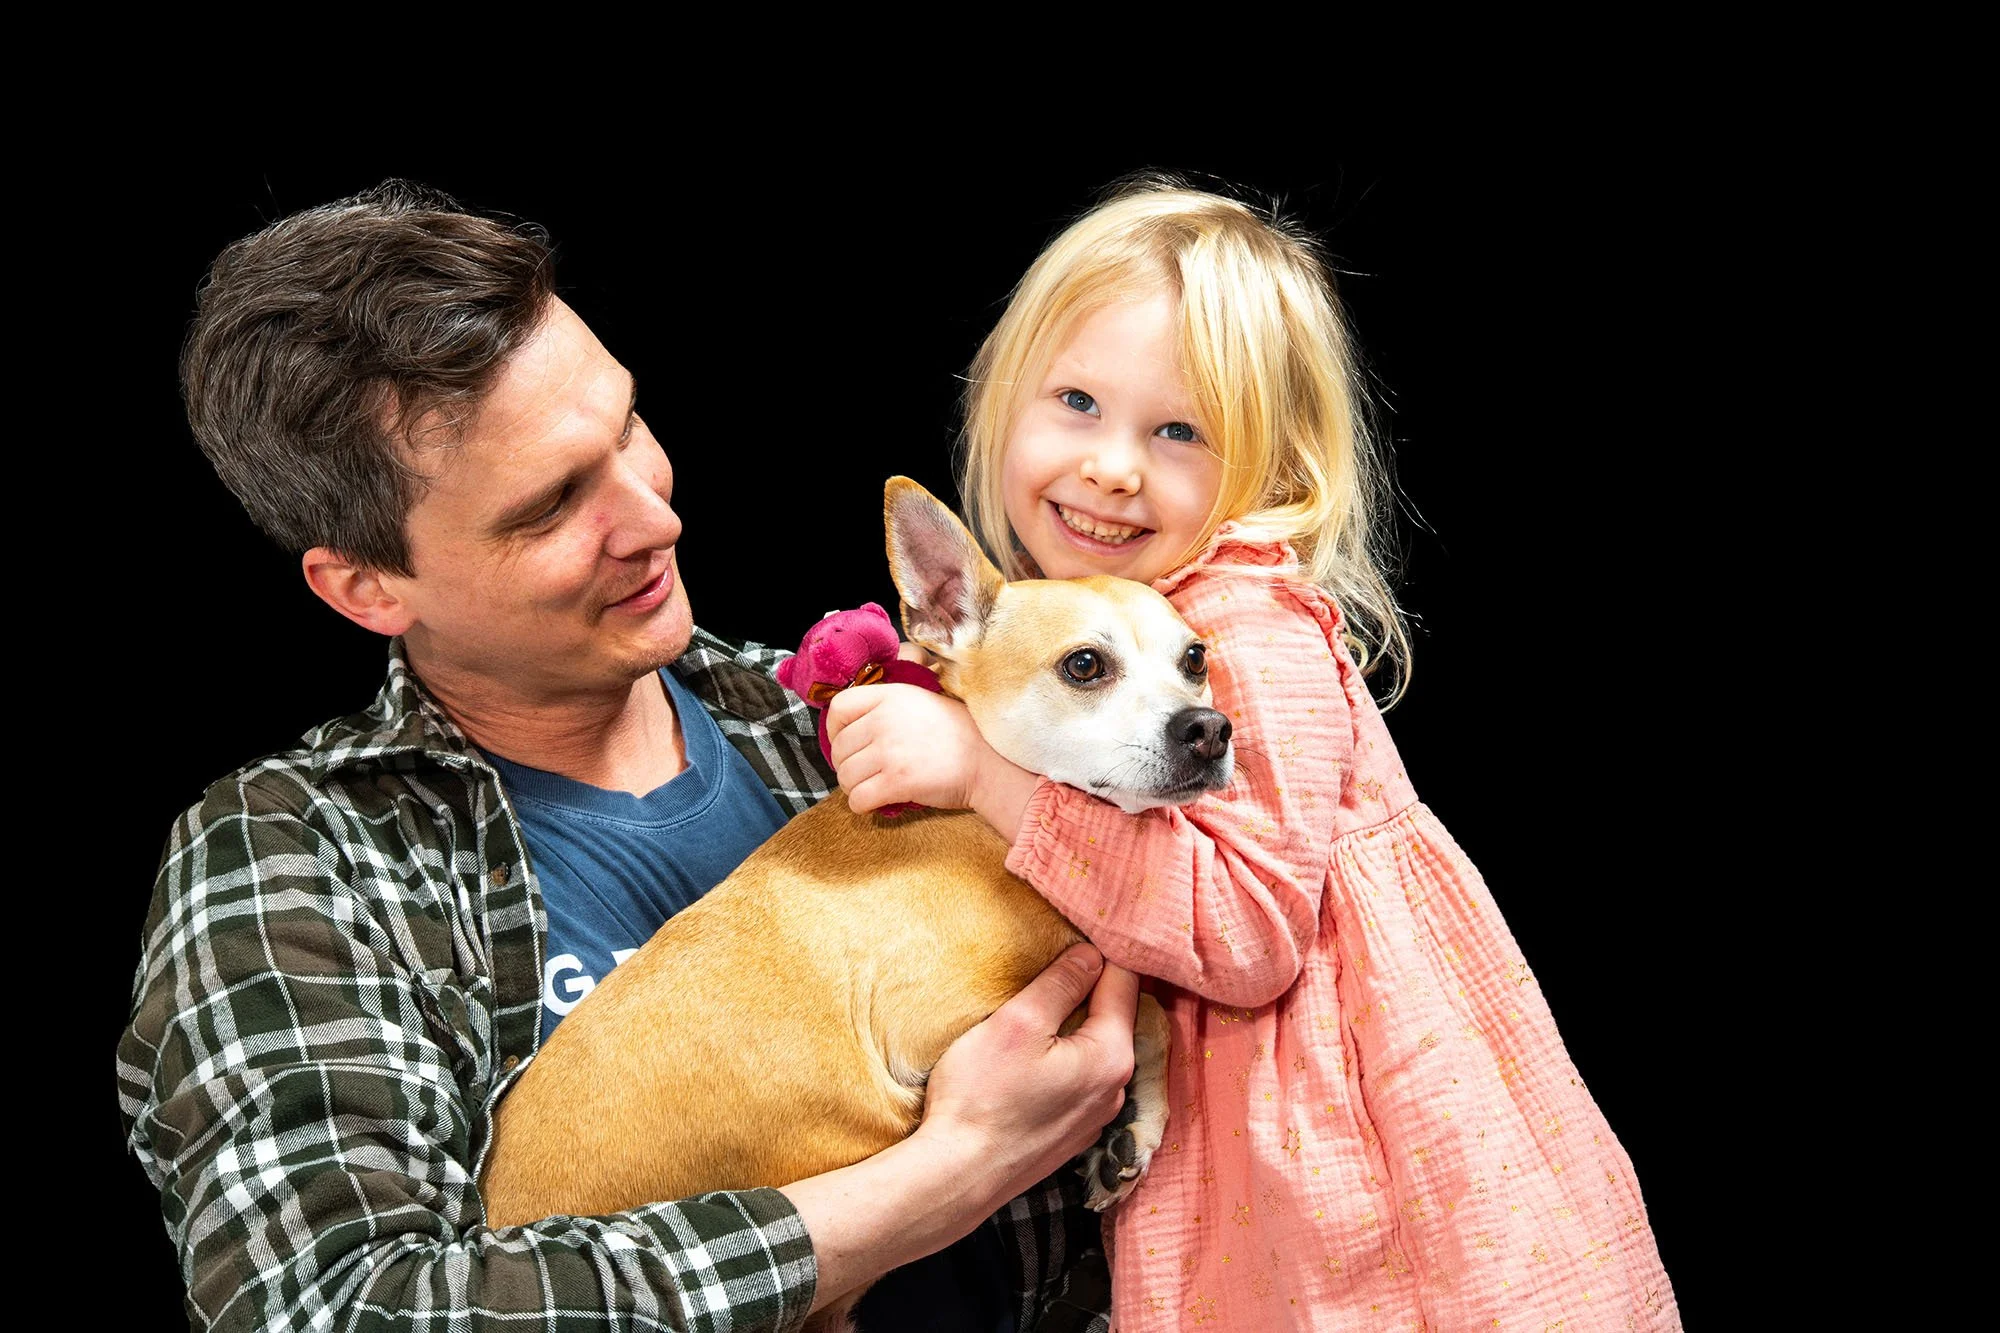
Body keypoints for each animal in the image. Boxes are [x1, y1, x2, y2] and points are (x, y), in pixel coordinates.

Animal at [480, 477, 1234, 1325]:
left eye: (1195, 659)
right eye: (1084, 665)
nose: (1208, 728)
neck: (977, 816)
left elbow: (1154, 1018)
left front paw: (1135, 1129)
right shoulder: (938, 1023)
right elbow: (1148, 1010)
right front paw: (1135, 1119)